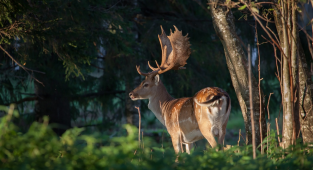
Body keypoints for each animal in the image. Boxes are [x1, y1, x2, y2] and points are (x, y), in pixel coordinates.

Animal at [128, 25, 230, 154]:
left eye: (145, 84)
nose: (131, 93)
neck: (165, 110)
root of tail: (220, 95)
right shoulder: (188, 140)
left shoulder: (174, 133)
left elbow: (178, 155)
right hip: (223, 126)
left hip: (206, 126)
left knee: (217, 148)